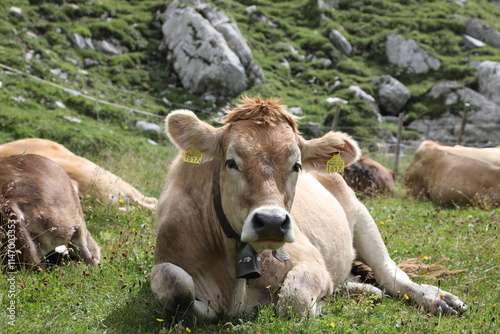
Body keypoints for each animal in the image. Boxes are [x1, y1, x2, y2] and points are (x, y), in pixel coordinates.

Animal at [150, 96, 466, 324]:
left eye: (297, 165)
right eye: (231, 162)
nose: (271, 222)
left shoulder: (310, 260)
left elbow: (294, 299)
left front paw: (318, 305)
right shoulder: (168, 262)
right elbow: (174, 285)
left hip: (362, 217)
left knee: (391, 275)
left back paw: (440, 299)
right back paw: (361, 290)